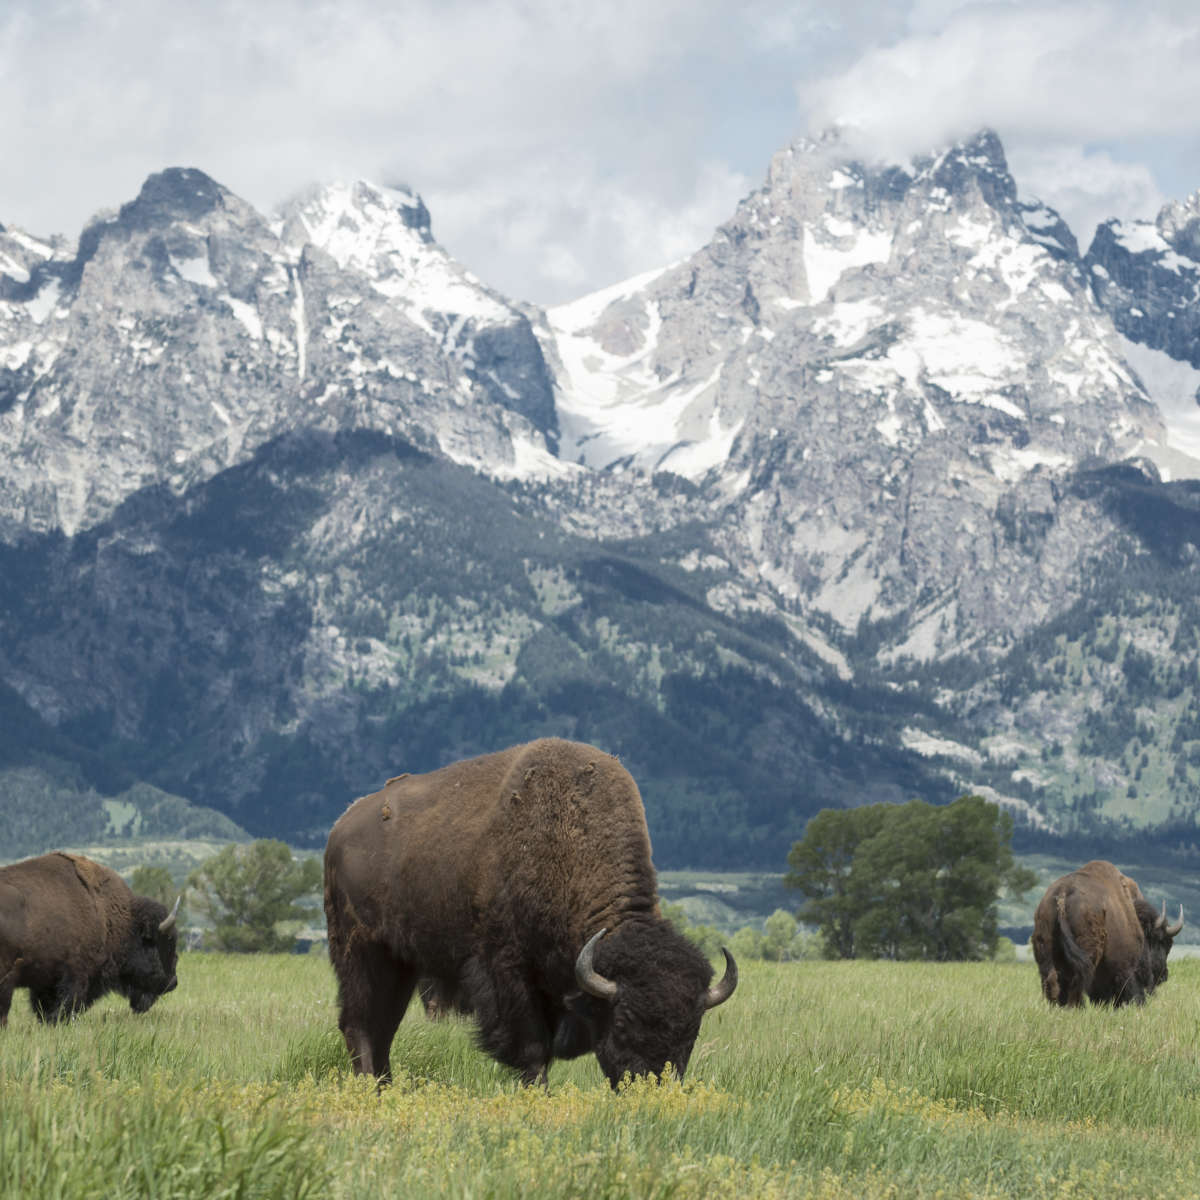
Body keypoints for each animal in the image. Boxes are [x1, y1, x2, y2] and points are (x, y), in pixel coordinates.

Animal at [324, 738, 737, 1087]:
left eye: (691, 1032)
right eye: (622, 1024)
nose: (651, 1086)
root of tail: (340, 828)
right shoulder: (509, 974)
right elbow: (533, 1048)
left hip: (401, 964)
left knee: (383, 1027)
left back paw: (384, 1087)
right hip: (361, 953)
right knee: (360, 1023)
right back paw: (369, 1087)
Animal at [1031, 859, 1183, 1007]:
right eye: (1163, 943)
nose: (1164, 976)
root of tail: (1063, 894)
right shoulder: (1126, 968)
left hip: (1045, 953)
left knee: (1052, 980)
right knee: (1077, 981)